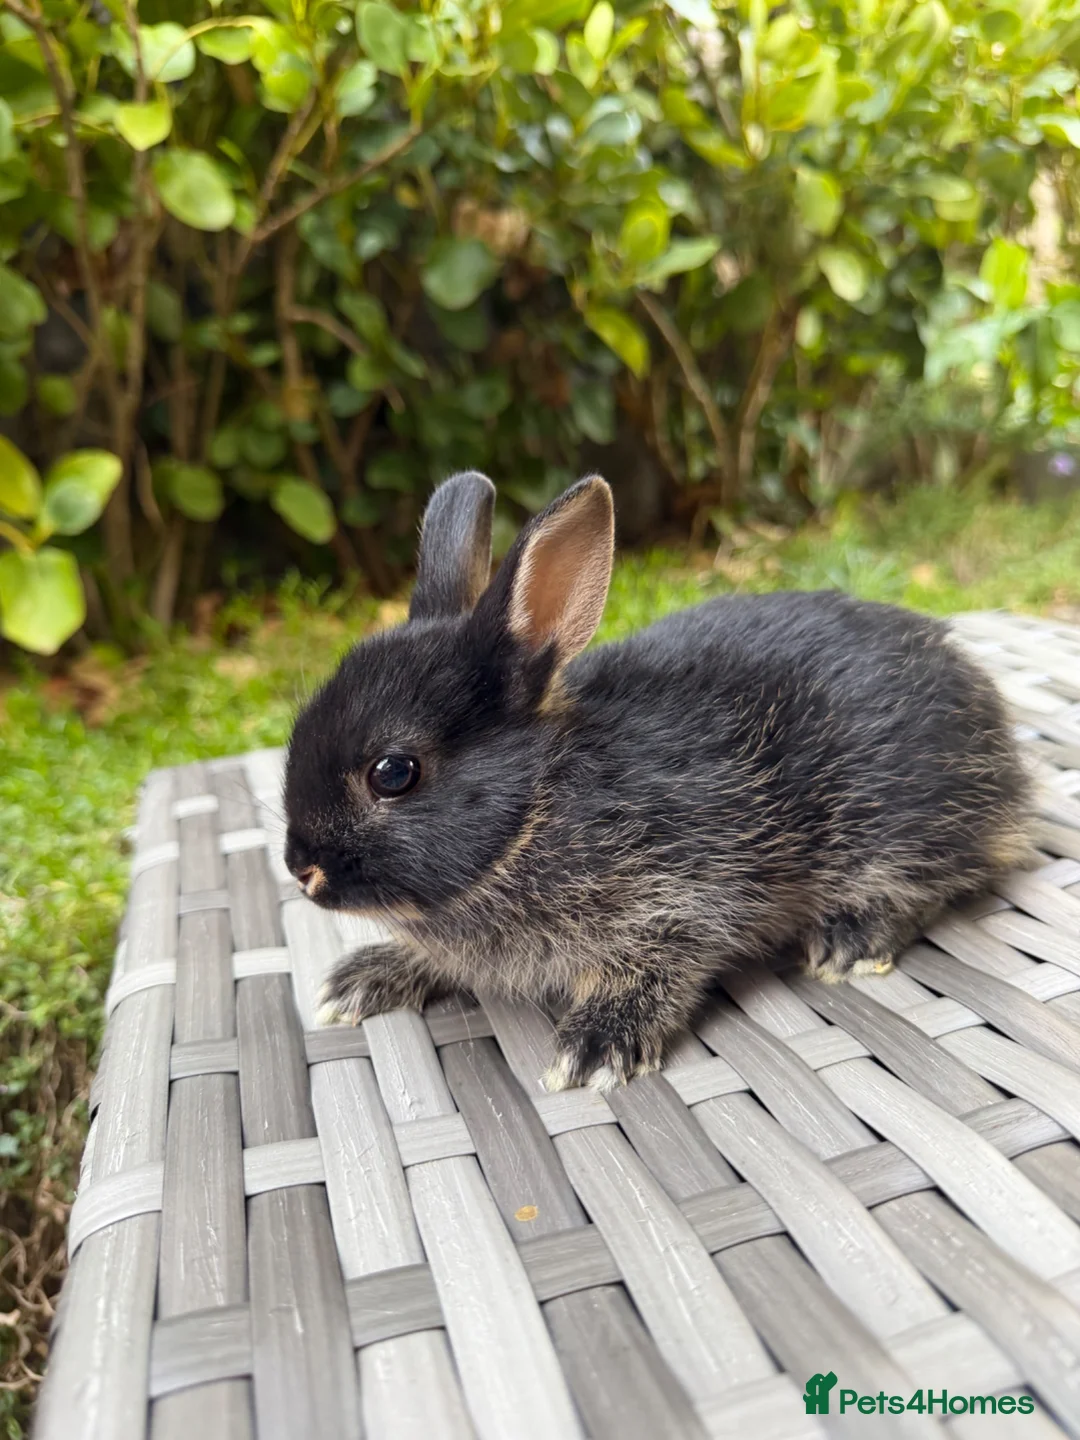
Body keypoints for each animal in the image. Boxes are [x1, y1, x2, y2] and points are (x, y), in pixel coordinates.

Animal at [283, 471, 1032, 1091]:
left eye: (394, 773)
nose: (301, 870)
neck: (540, 803)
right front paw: (366, 978)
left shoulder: (681, 898)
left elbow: (660, 966)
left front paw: (597, 1045)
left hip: (896, 817)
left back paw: (851, 941)